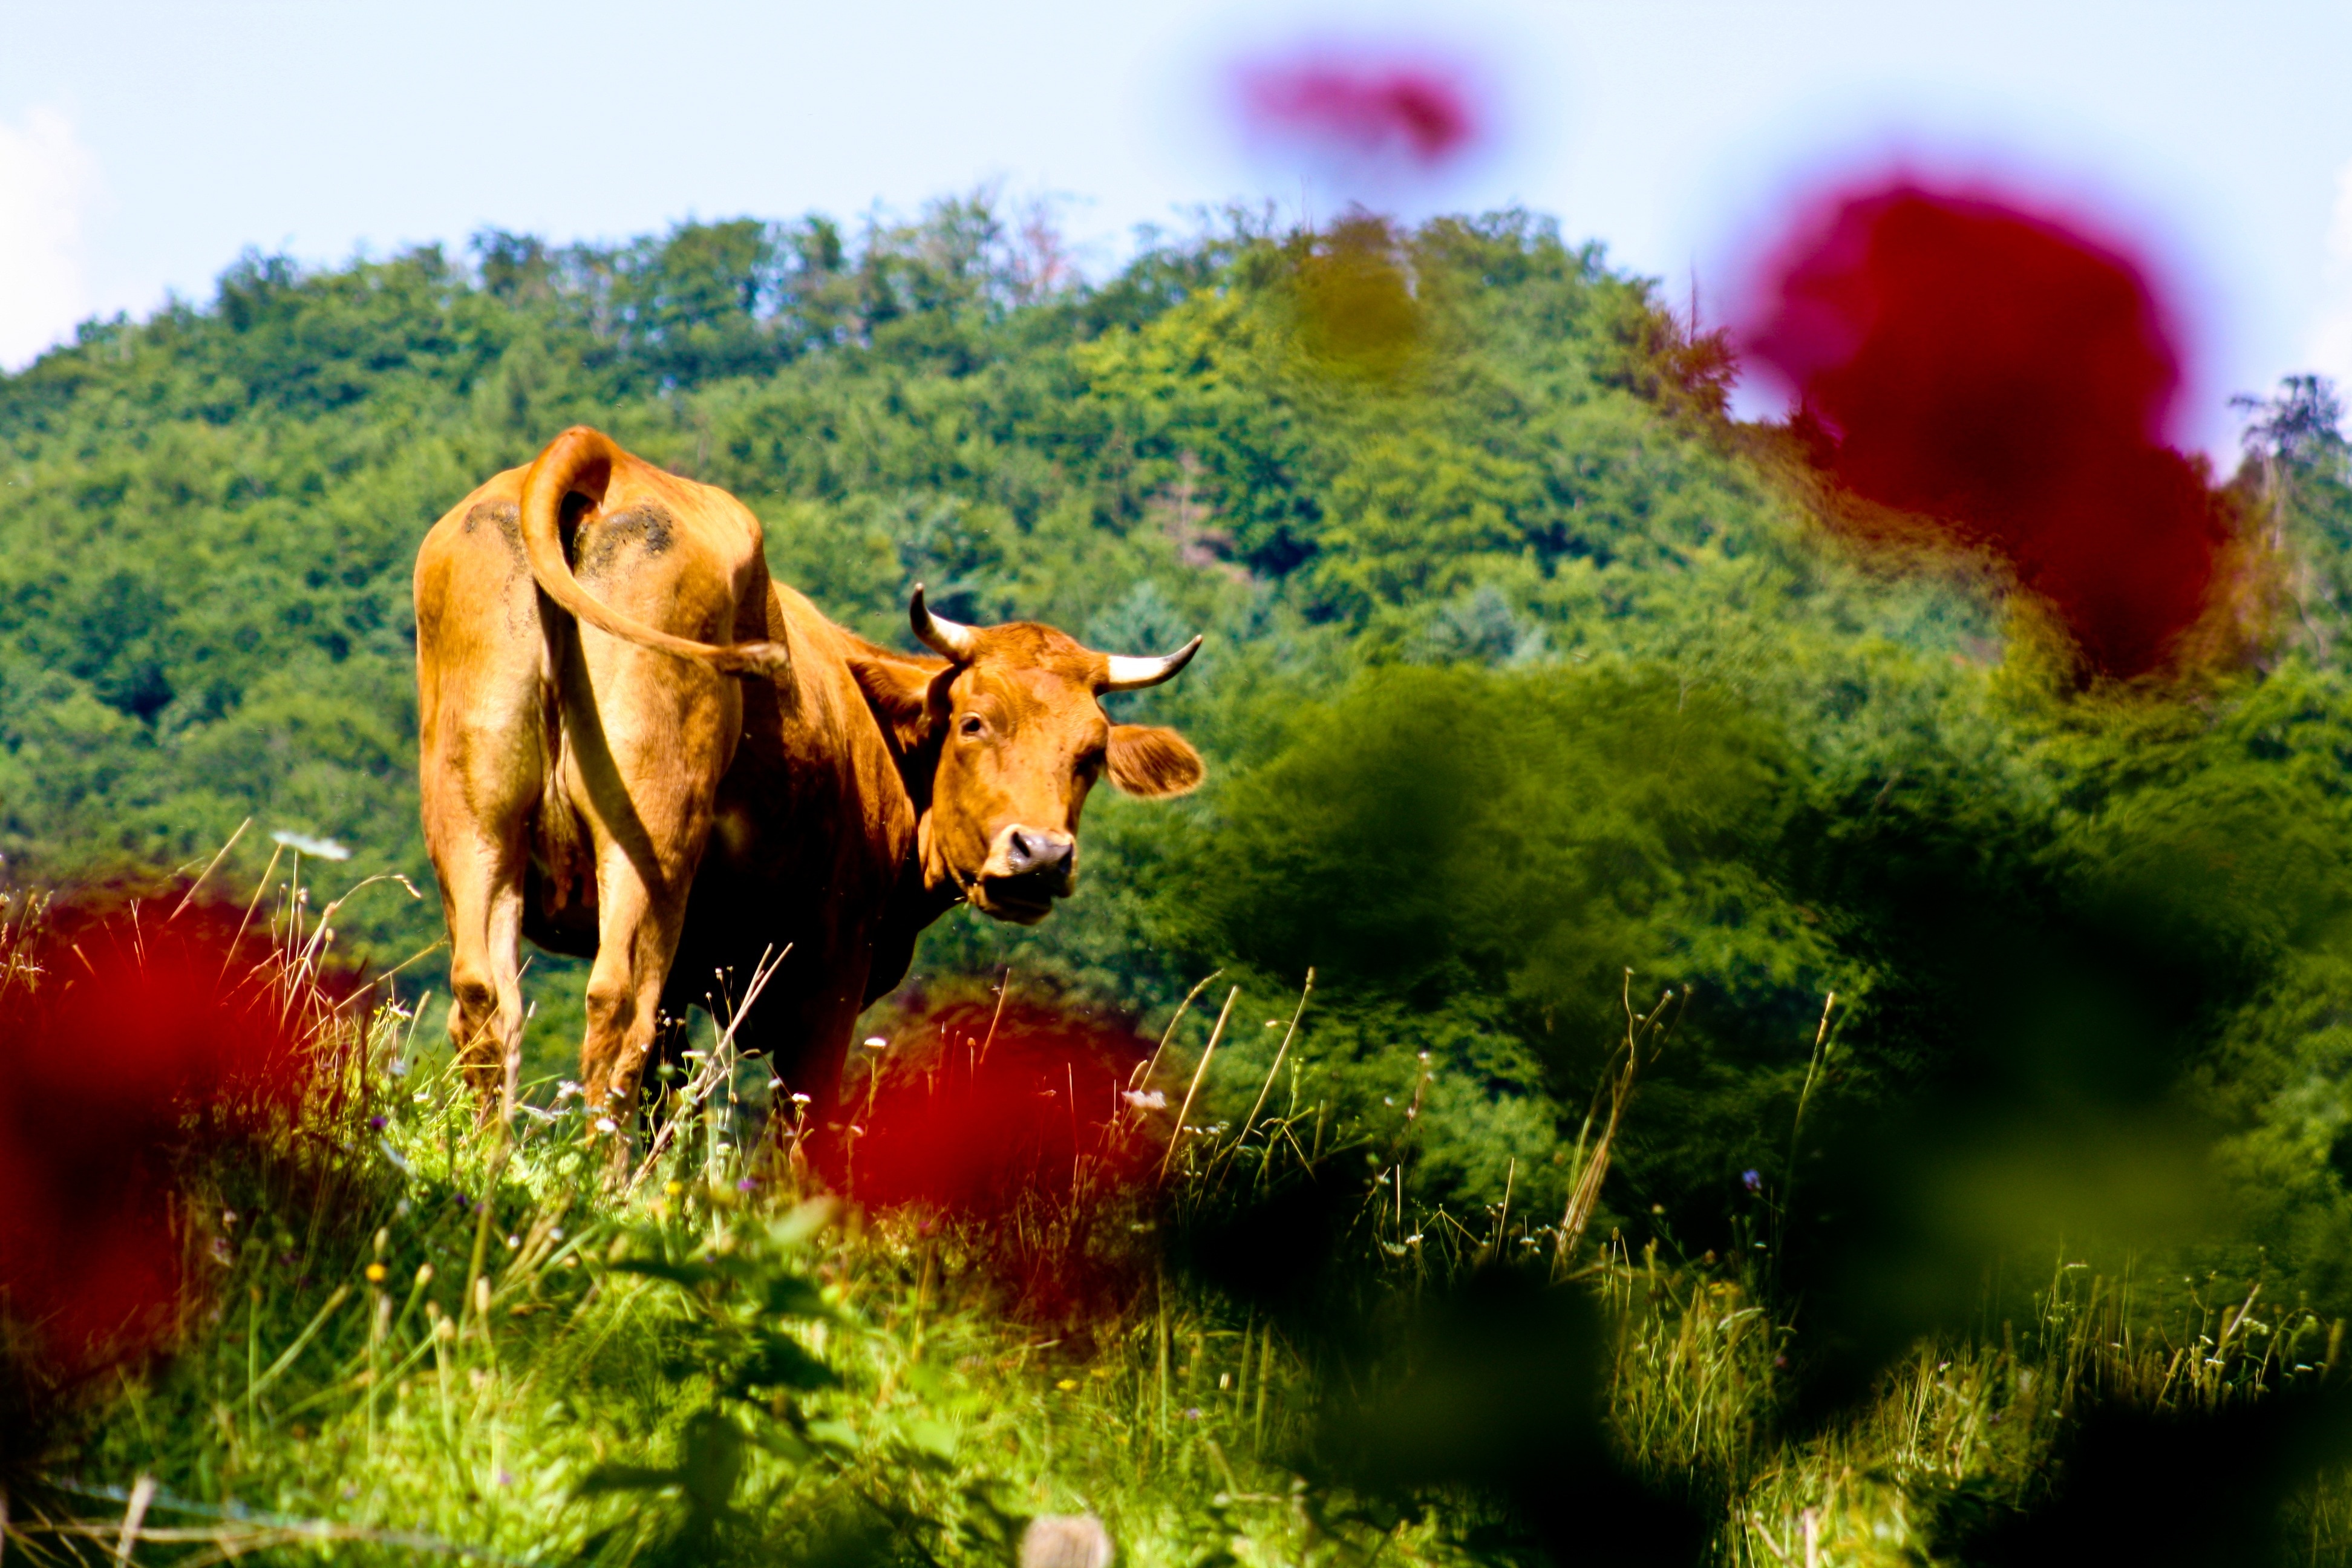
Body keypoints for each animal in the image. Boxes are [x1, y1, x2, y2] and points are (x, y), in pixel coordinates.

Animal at [411, 425, 1204, 1128]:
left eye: (1092, 754)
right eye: (974, 722)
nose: (1040, 854)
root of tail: (599, 455)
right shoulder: (830, 980)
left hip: (476, 825)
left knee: (487, 1006)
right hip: (652, 841)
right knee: (616, 1010)